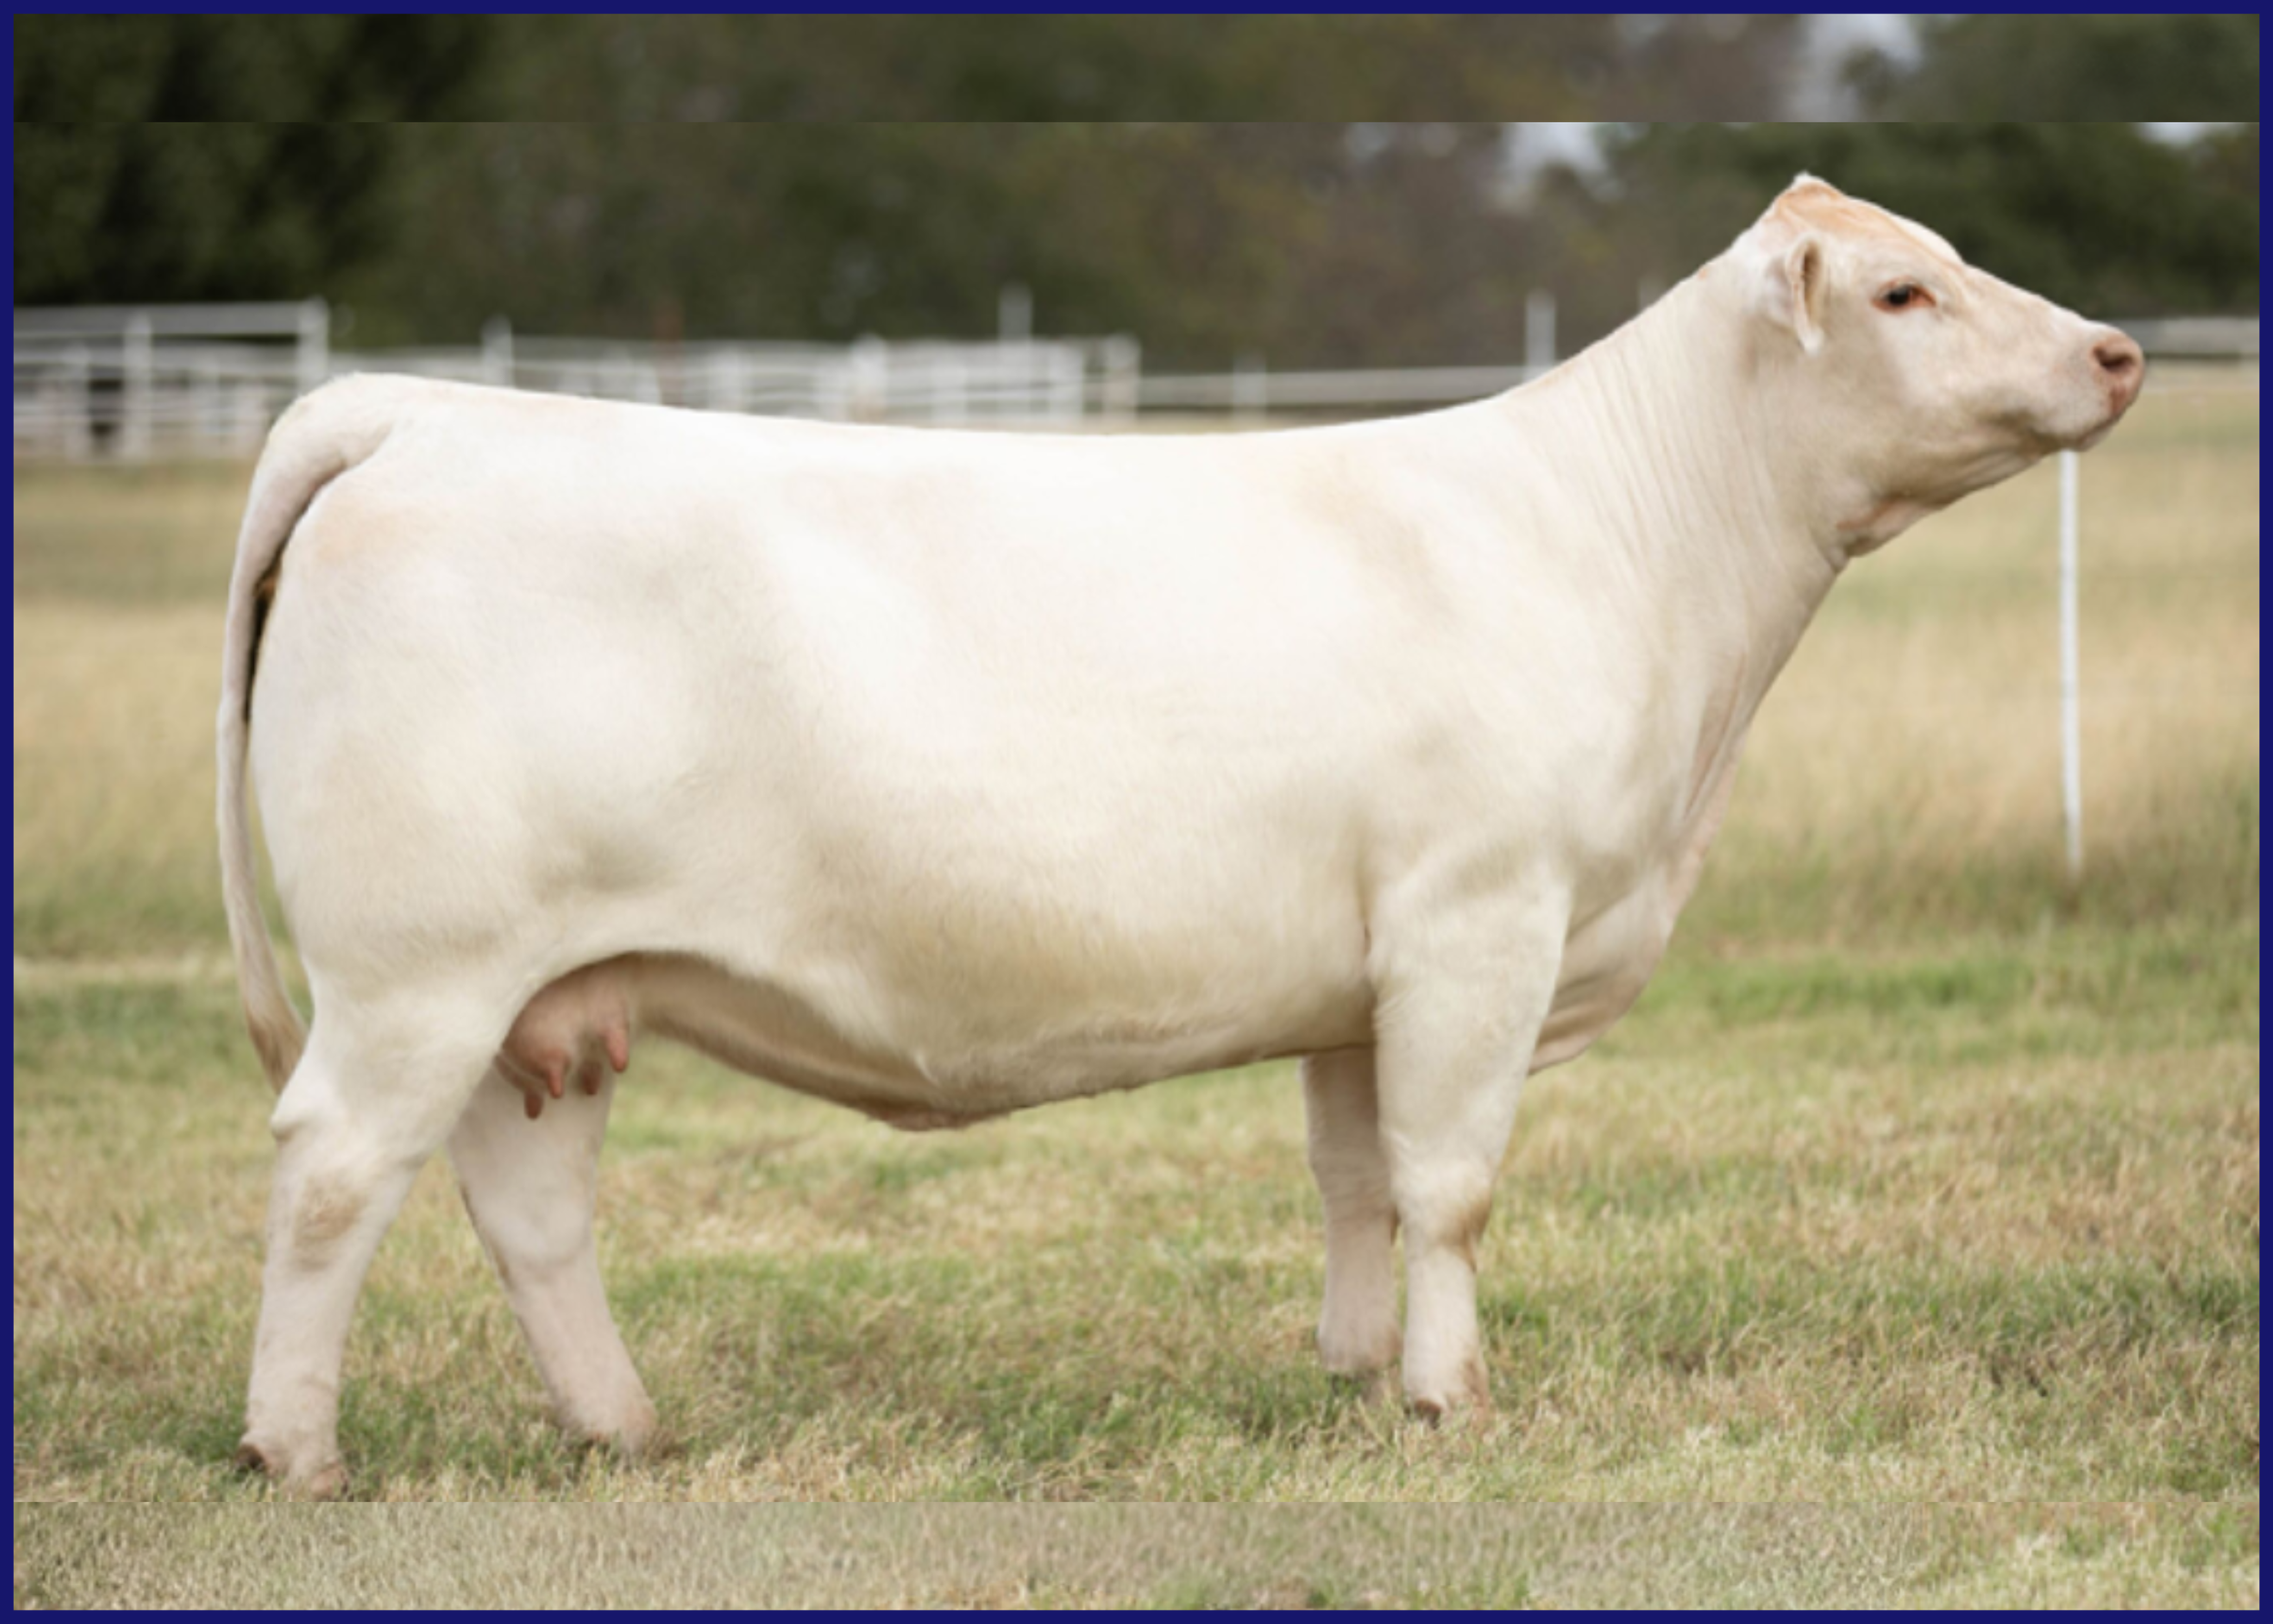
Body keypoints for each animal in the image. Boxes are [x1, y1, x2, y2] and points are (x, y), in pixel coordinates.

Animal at [216, 177, 2143, 1494]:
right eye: (1902, 286)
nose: (2117, 351)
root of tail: (416, 407)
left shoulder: (1370, 976)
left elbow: (1360, 1181)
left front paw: (1360, 1382)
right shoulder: (1481, 919)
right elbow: (1454, 1185)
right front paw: (1453, 1400)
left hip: (545, 989)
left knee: (527, 1210)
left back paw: (623, 1429)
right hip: (416, 971)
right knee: (331, 1173)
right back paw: (296, 1454)